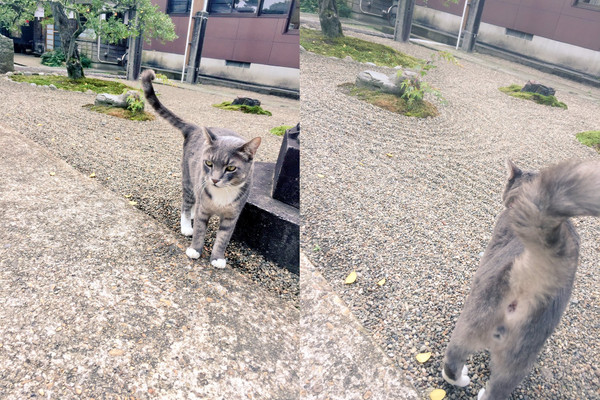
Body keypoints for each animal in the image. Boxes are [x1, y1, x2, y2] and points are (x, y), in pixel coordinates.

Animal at [143, 69, 262, 268]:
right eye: (209, 164)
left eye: (231, 168)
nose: (214, 179)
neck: (222, 195)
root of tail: (195, 128)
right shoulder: (204, 207)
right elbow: (199, 229)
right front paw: (195, 249)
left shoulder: (232, 216)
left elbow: (223, 238)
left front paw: (217, 258)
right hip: (189, 180)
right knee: (187, 203)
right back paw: (186, 225)